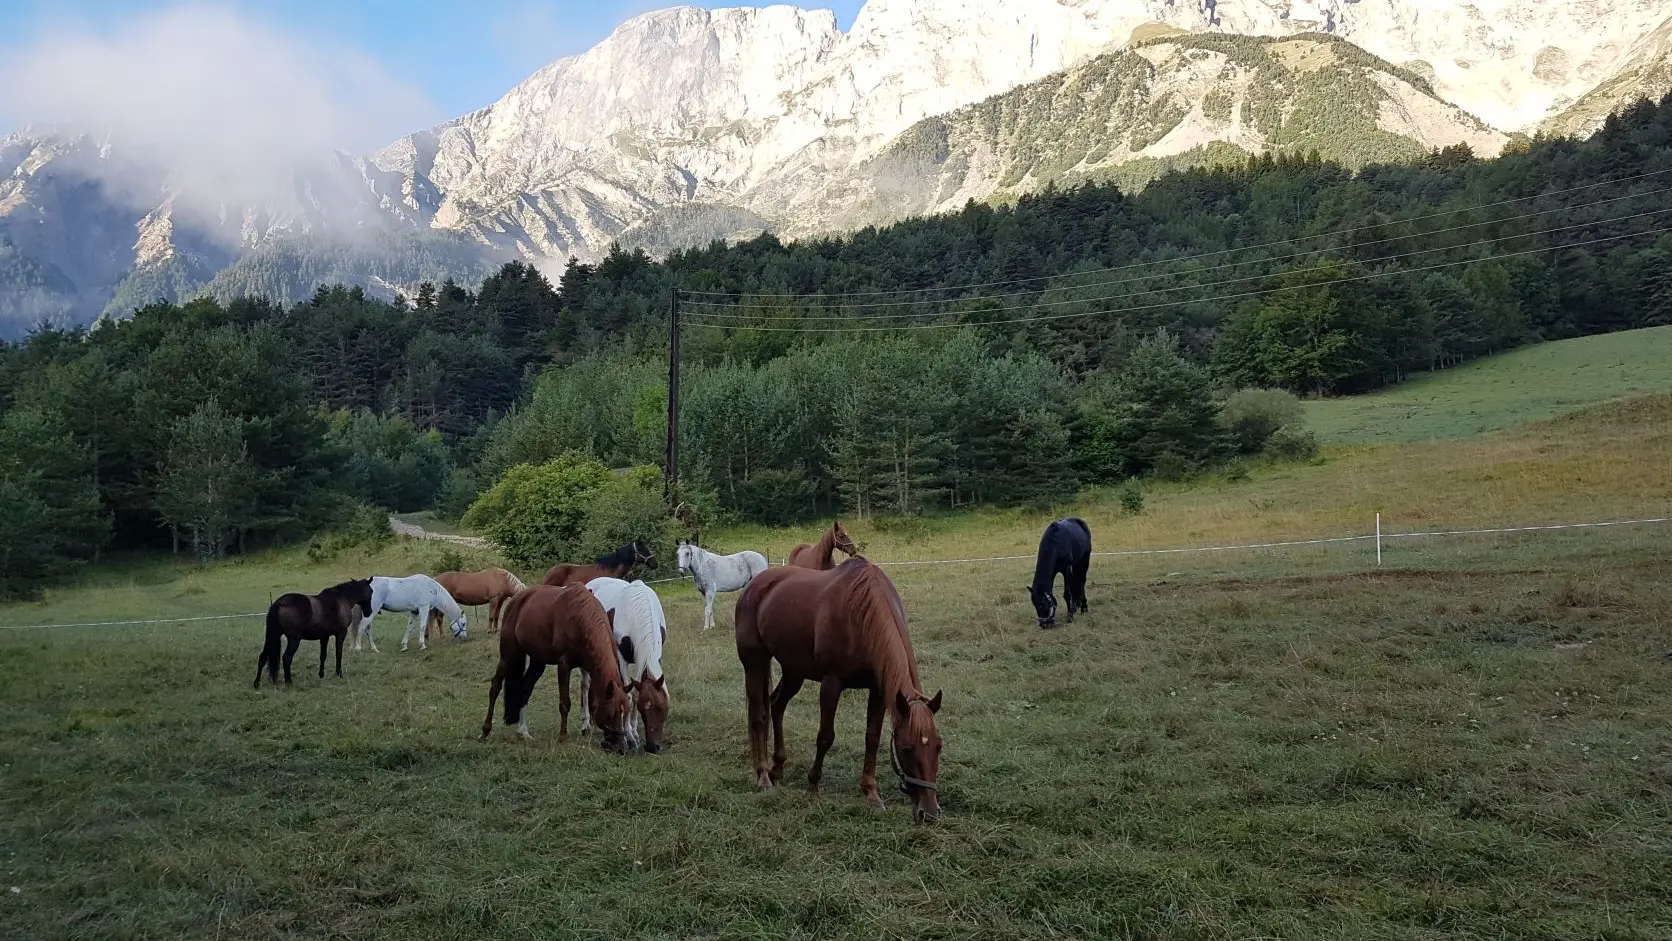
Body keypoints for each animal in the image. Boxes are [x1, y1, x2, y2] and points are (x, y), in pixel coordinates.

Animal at [481, 583, 634, 753]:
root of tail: (516, 598)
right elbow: (565, 703)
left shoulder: (590, 668)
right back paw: (485, 731)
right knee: (495, 686)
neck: (582, 618)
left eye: (626, 713)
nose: (621, 748)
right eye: (610, 715)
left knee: (525, 689)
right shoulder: (564, 665)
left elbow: (592, 701)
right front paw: (563, 736)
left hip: (538, 662)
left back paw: (523, 731)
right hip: (508, 656)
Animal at [582, 576, 670, 753]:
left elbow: (635, 693)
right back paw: (586, 724)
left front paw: (634, 733)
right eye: (643, 710)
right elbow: (628, 695)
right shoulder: (621, 658)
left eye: (662, 708)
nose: (653, 747)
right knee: (586, 685)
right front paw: (630, 736)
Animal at [735, 557, 944, 823]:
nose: (929, 814)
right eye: (906, 748)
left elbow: (872, 739)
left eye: (938, 746)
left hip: (794, 671)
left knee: (776, 706)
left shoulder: (879, 690)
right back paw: (763, 777)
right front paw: (812, 787)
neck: (861, 613)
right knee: (759, 717)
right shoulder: (831, 683)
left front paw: (871, 793)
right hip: (756, 663)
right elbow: (825, 737)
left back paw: (777, 768)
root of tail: (754, 585)